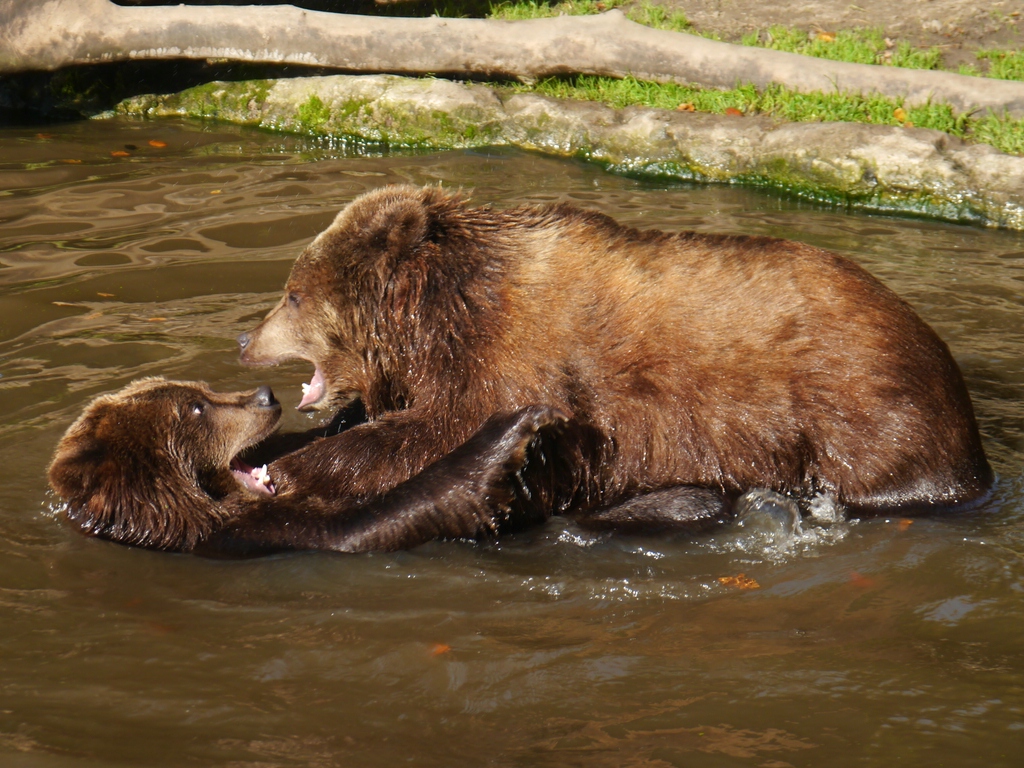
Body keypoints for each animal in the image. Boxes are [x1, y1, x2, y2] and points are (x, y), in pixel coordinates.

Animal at [48, 376, 585, 552]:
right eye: (196, 407)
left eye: (202, 390)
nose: (265, 396)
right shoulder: (251, 534)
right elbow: (367, 523)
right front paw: (515, 429)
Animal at [237, 186, 991, 524]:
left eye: (294, 294)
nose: (245, 339)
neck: (443, 320)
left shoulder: (520, 363)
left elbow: (442, 435)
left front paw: (290, 469)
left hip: (855, 402)